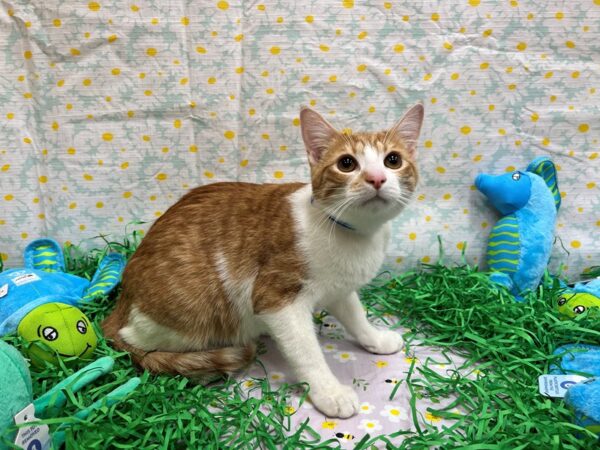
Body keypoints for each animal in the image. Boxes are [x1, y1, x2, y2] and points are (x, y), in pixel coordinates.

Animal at [102, 103, 422, 418]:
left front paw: (375, 338)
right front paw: (329, 392)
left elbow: (356, 315)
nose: (376, 178)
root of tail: (122, 302)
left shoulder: (339, 289)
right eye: (346, 163)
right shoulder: (276, 298)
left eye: (393, 160)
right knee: (136, 341)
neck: (354, 236)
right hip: (197, 313)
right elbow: (307, 351)